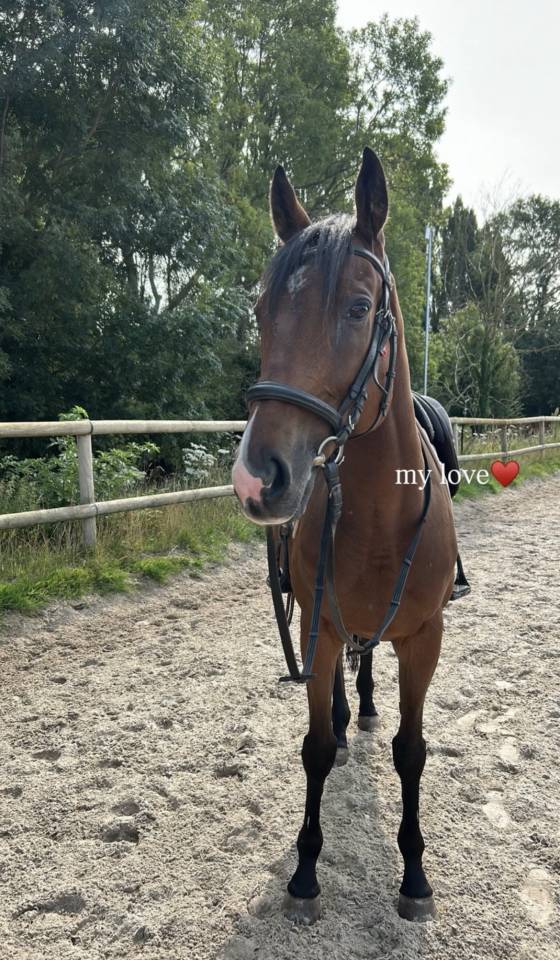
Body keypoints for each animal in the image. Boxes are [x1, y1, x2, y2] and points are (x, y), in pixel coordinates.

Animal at [232, 147, 458, 925]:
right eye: (263, 312)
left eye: (359, 309)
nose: (258, 478)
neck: (380, 518)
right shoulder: (321, 624)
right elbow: (317, 748)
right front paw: (305, 872)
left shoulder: (425, 638)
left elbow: (412, 750)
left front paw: (415, 877)